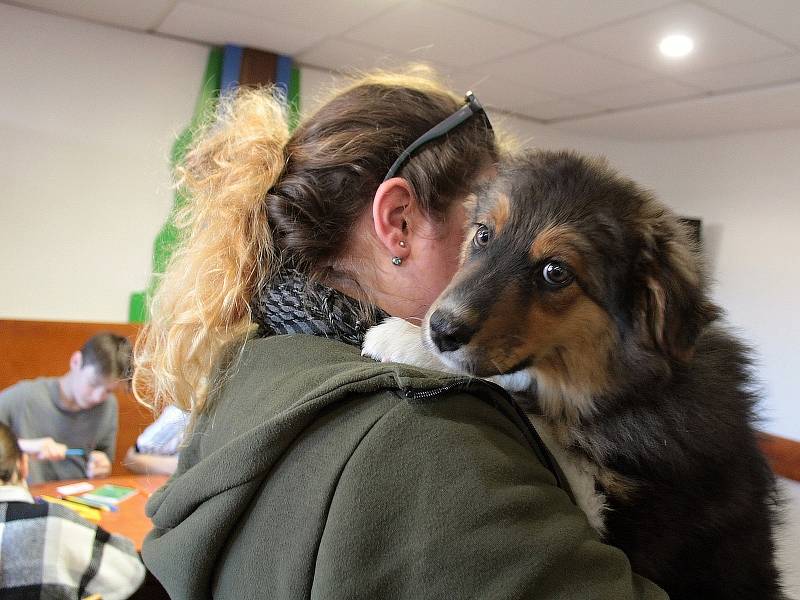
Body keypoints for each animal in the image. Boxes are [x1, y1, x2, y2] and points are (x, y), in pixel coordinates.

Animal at [366, 150, 784, 600]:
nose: (441, 330)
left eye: (556, 272)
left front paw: (399, 338)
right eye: (483, 236)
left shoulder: (625, 530)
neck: (624, 389)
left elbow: (524, 403)